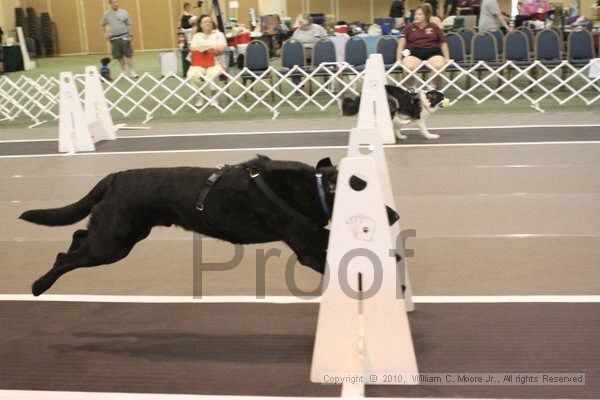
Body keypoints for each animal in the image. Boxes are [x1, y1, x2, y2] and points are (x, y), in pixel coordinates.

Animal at [19, 156, 346, 296]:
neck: (319, 187)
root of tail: (115, 177)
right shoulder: (307, 245)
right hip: (112, 245)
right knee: (66, 256)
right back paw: (39, 285)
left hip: (123, 235)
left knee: (78, 235)